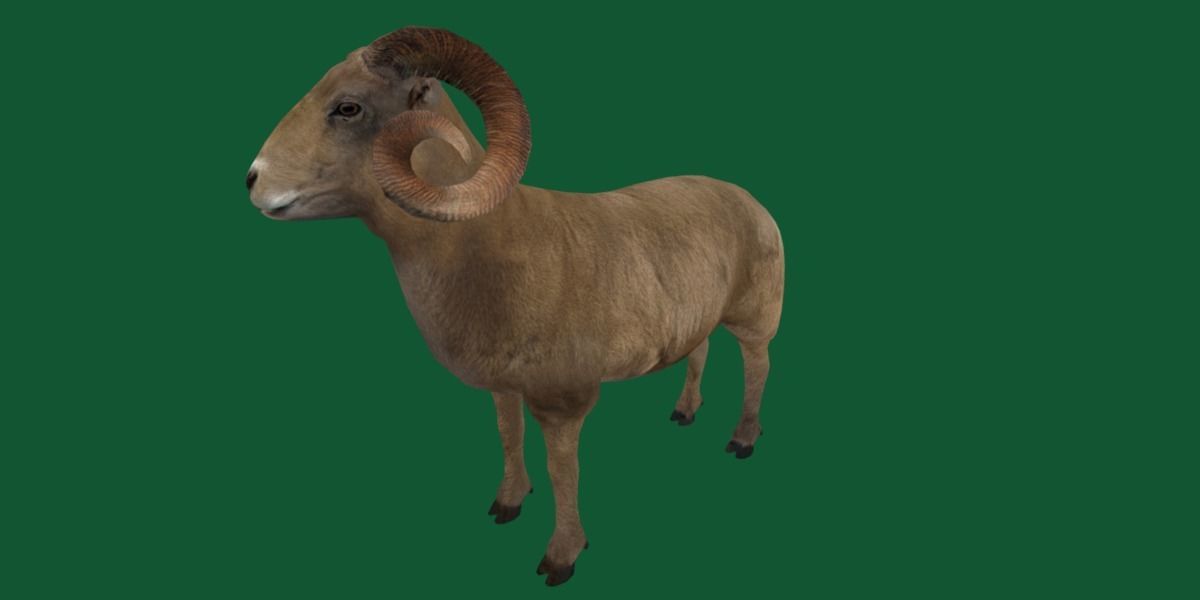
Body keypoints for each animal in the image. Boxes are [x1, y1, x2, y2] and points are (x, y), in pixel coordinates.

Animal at [246, 26, 784, 586]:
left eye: (348, 107)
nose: (253, 179)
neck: (491, 245)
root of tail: (750, 200)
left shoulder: (563, 402)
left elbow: (563, 472)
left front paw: (561, 558)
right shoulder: (504, 387)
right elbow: (508, 436)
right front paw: (507, 504)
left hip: (756, 318)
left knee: (757, 368)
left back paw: (743, 440)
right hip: (696, 322)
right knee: (699, 352)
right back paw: (684, 413)